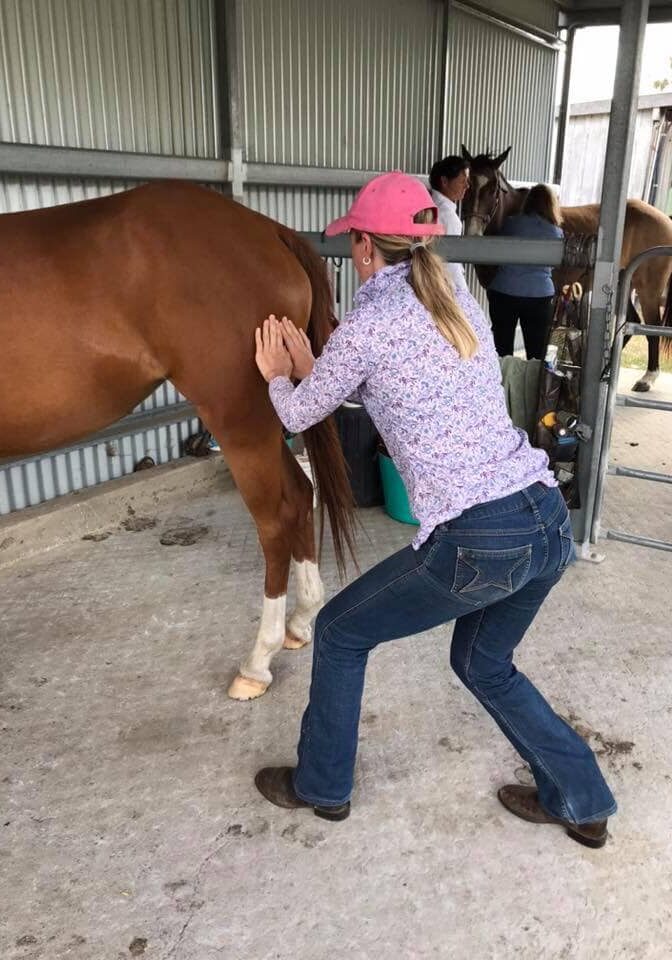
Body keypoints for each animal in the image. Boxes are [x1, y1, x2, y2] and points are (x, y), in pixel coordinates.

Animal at [0, 180, 357, 701]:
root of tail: (268, 230)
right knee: (300, 494)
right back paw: (299, 622)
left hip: (239, 420)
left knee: (276, 520)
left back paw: (258, 661)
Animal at [460, 146, 672, 392]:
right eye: (467, 185)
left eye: (493, 188)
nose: (472, 234)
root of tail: (664, 218)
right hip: (622, 283)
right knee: (631, 320)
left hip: (648, 291)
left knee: (652, 328)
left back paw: (647, 378)